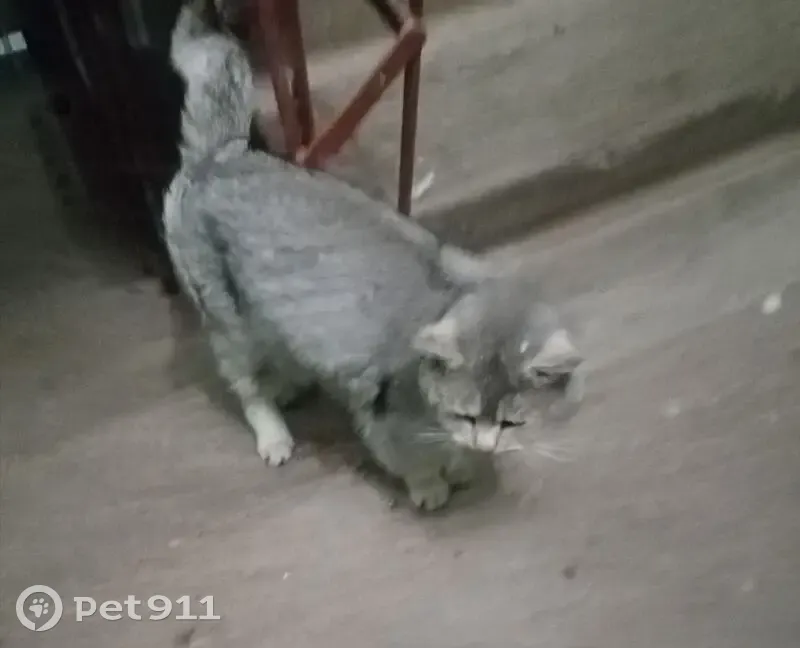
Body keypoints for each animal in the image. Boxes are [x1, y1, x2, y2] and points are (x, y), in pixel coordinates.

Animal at [164, 0, 584, 510]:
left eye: (511, 423)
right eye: (467, 416)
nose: (486, 443)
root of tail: (220, 155)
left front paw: (466, 463)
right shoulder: (383, 415)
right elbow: (411, 456)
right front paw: (433, 484)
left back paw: (292, 383)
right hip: (229, 322)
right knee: (248, 387)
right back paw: (274, 432)